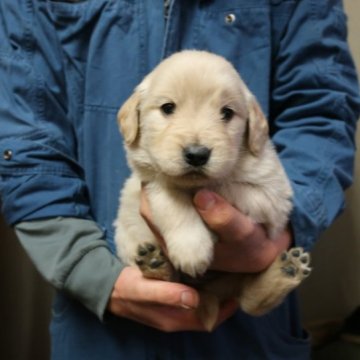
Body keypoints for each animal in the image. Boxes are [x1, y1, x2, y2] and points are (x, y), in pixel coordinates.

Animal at [114, 50, 310, 332]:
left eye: (227, 113)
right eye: (167, 108)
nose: (197, 155)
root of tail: (208, 293)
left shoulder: (274, 196)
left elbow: (220, 185)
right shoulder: (149, 180)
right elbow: (170, 195)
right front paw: (192, 247)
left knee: (249, 300)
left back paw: (286, 271)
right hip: (125, 239)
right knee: (174, 280)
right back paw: (155, 264)